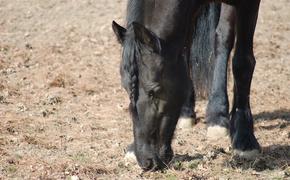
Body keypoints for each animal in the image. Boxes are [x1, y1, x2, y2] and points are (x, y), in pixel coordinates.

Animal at [112, 0, 260, 171]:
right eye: (126, 89)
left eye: (154, 91)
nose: (145, 160)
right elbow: (185, 51)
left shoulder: (248, 5)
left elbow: (242, 62)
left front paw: (245, 139)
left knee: (224, 37)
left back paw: (218, 116)